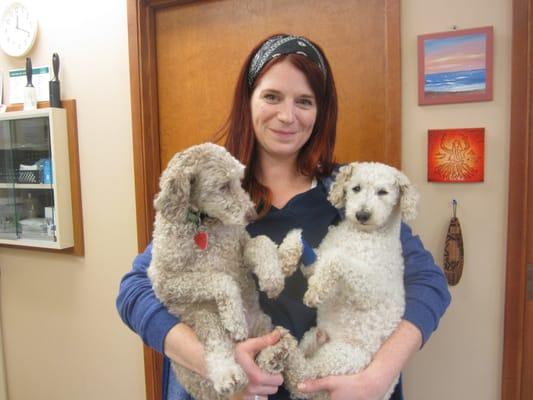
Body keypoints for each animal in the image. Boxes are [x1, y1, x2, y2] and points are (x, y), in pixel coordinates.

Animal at [148, 144, 302, 400]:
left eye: (240, 180)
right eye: (223, 186)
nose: (252, 214)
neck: (202, 225)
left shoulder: (241, 249)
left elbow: (261, 241)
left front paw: (272, 278)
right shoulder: (164, 282)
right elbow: (221, 279)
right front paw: (235, 318)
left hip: (267, 326)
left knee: (292, 358)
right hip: (202, 317)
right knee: (218, 341)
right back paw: (230, 373)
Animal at [282, 162, 420, 400]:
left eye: (382, 192)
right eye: (356, 188)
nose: (362, 214)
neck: (360, 234)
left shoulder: (368, 288)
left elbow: (337, 259)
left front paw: (315, 290)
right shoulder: (315, 263)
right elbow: (301, 241)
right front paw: (285, 256)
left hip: (344, 357)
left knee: (304, 376)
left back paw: (287, 355)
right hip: (317, 339)